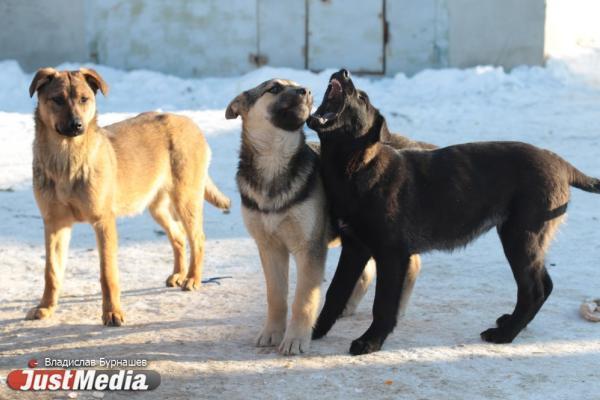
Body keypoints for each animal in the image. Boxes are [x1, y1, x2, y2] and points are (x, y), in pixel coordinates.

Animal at [27, 67, 230, 326]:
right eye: (57, 99)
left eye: (84, 99)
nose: (77, 125)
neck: (66, 159)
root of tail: (190, 122)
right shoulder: (54, 224)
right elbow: (51, 272)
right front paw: (45, 307)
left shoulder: (103, 222)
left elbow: (107, 273)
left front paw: (112, 313)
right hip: (157, 208)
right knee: (178, 235)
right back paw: (178, 274)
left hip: (186, 200)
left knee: (198, 238)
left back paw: (192, 278)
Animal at [310, 69, 600, 356]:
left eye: (362, 97)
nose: (343, 72)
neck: (354, 168)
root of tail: (560, 163)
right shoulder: (354, 247)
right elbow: (335, 292)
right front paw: (314, 331)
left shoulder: (392, 254)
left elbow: (383, 304)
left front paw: (370, 342)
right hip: (526, 238)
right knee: (543, 284)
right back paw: (511, 323)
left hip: (521, 236)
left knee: (535, 289)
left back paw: (504, 334)